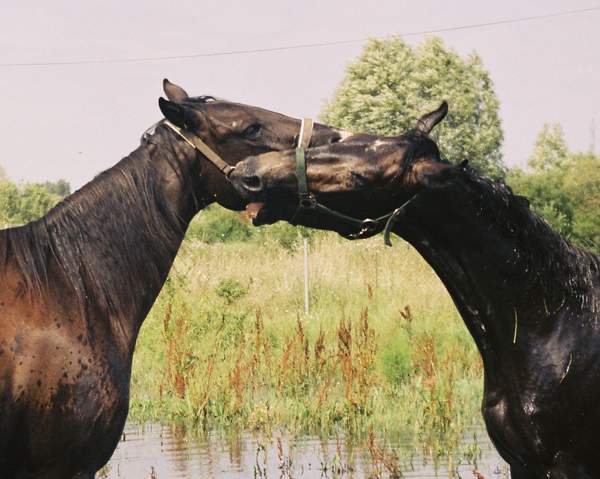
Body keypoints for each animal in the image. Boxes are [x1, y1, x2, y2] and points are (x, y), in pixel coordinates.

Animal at [232, 106, 600, 479]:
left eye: (360, 177)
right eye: (341, 140)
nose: (248, 172)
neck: (549, 324)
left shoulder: (567, 466)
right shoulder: (522, 464)